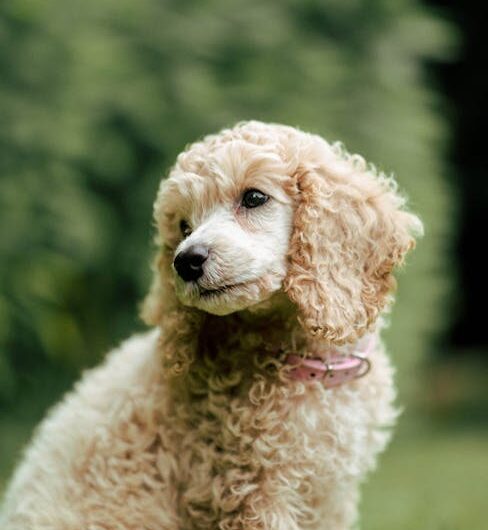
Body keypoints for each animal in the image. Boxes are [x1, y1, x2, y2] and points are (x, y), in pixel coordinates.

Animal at [0, 121, 422, 524]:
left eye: (254, 197)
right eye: (184, 226)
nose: (186, 261)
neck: (305, 363)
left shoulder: (329, 496)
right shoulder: (247, 487)